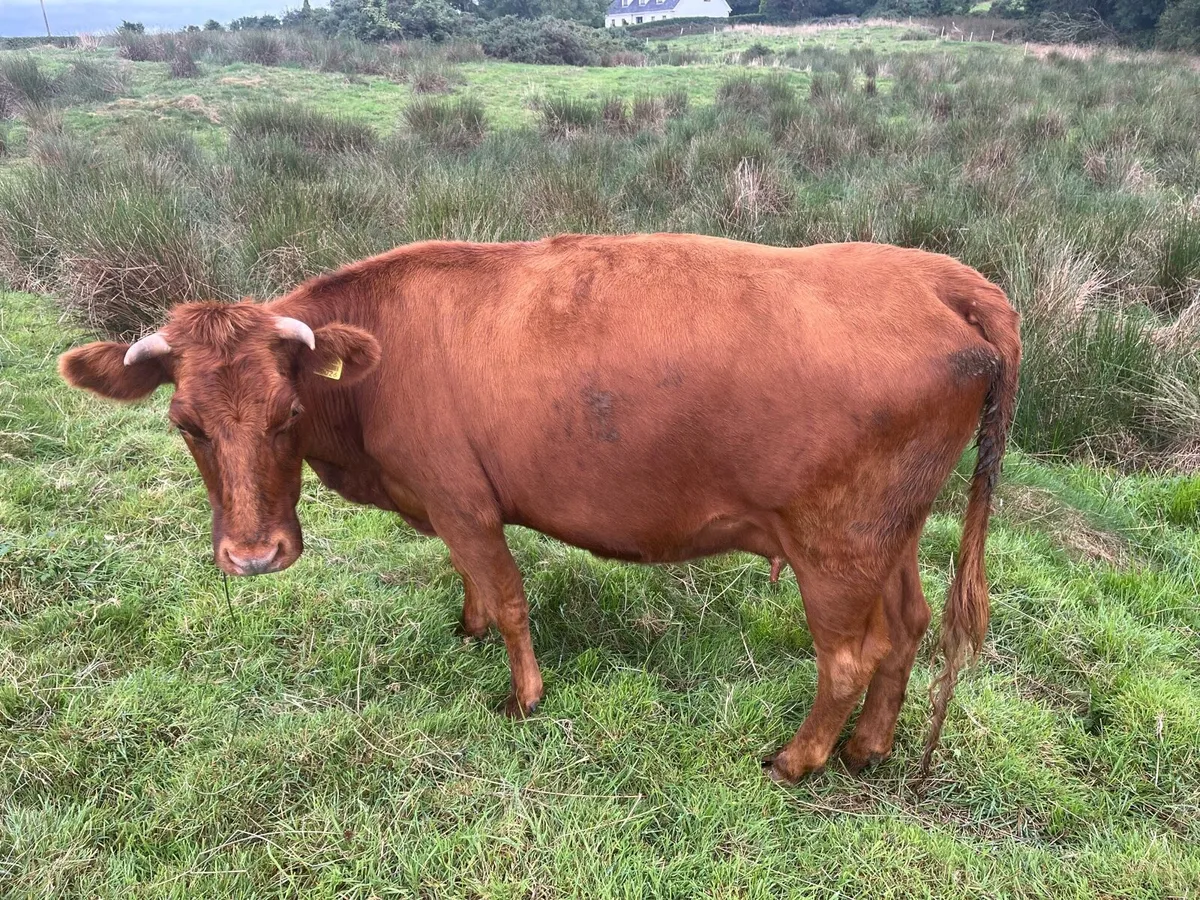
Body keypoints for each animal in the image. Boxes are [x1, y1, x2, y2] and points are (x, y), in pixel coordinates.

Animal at [59, 233, 1020, 781]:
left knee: (850, 659)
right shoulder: (447, 505)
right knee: (908, 629)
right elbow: (477, 587)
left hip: (834, 545)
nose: (253, 555)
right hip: (889, 534)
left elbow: (513, 595)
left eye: (287, 413)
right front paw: (469, 625)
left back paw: (799, 759)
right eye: (185, 425)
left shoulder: (461, 499)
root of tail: (944, 277)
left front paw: (523, 695)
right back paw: (868, 748)